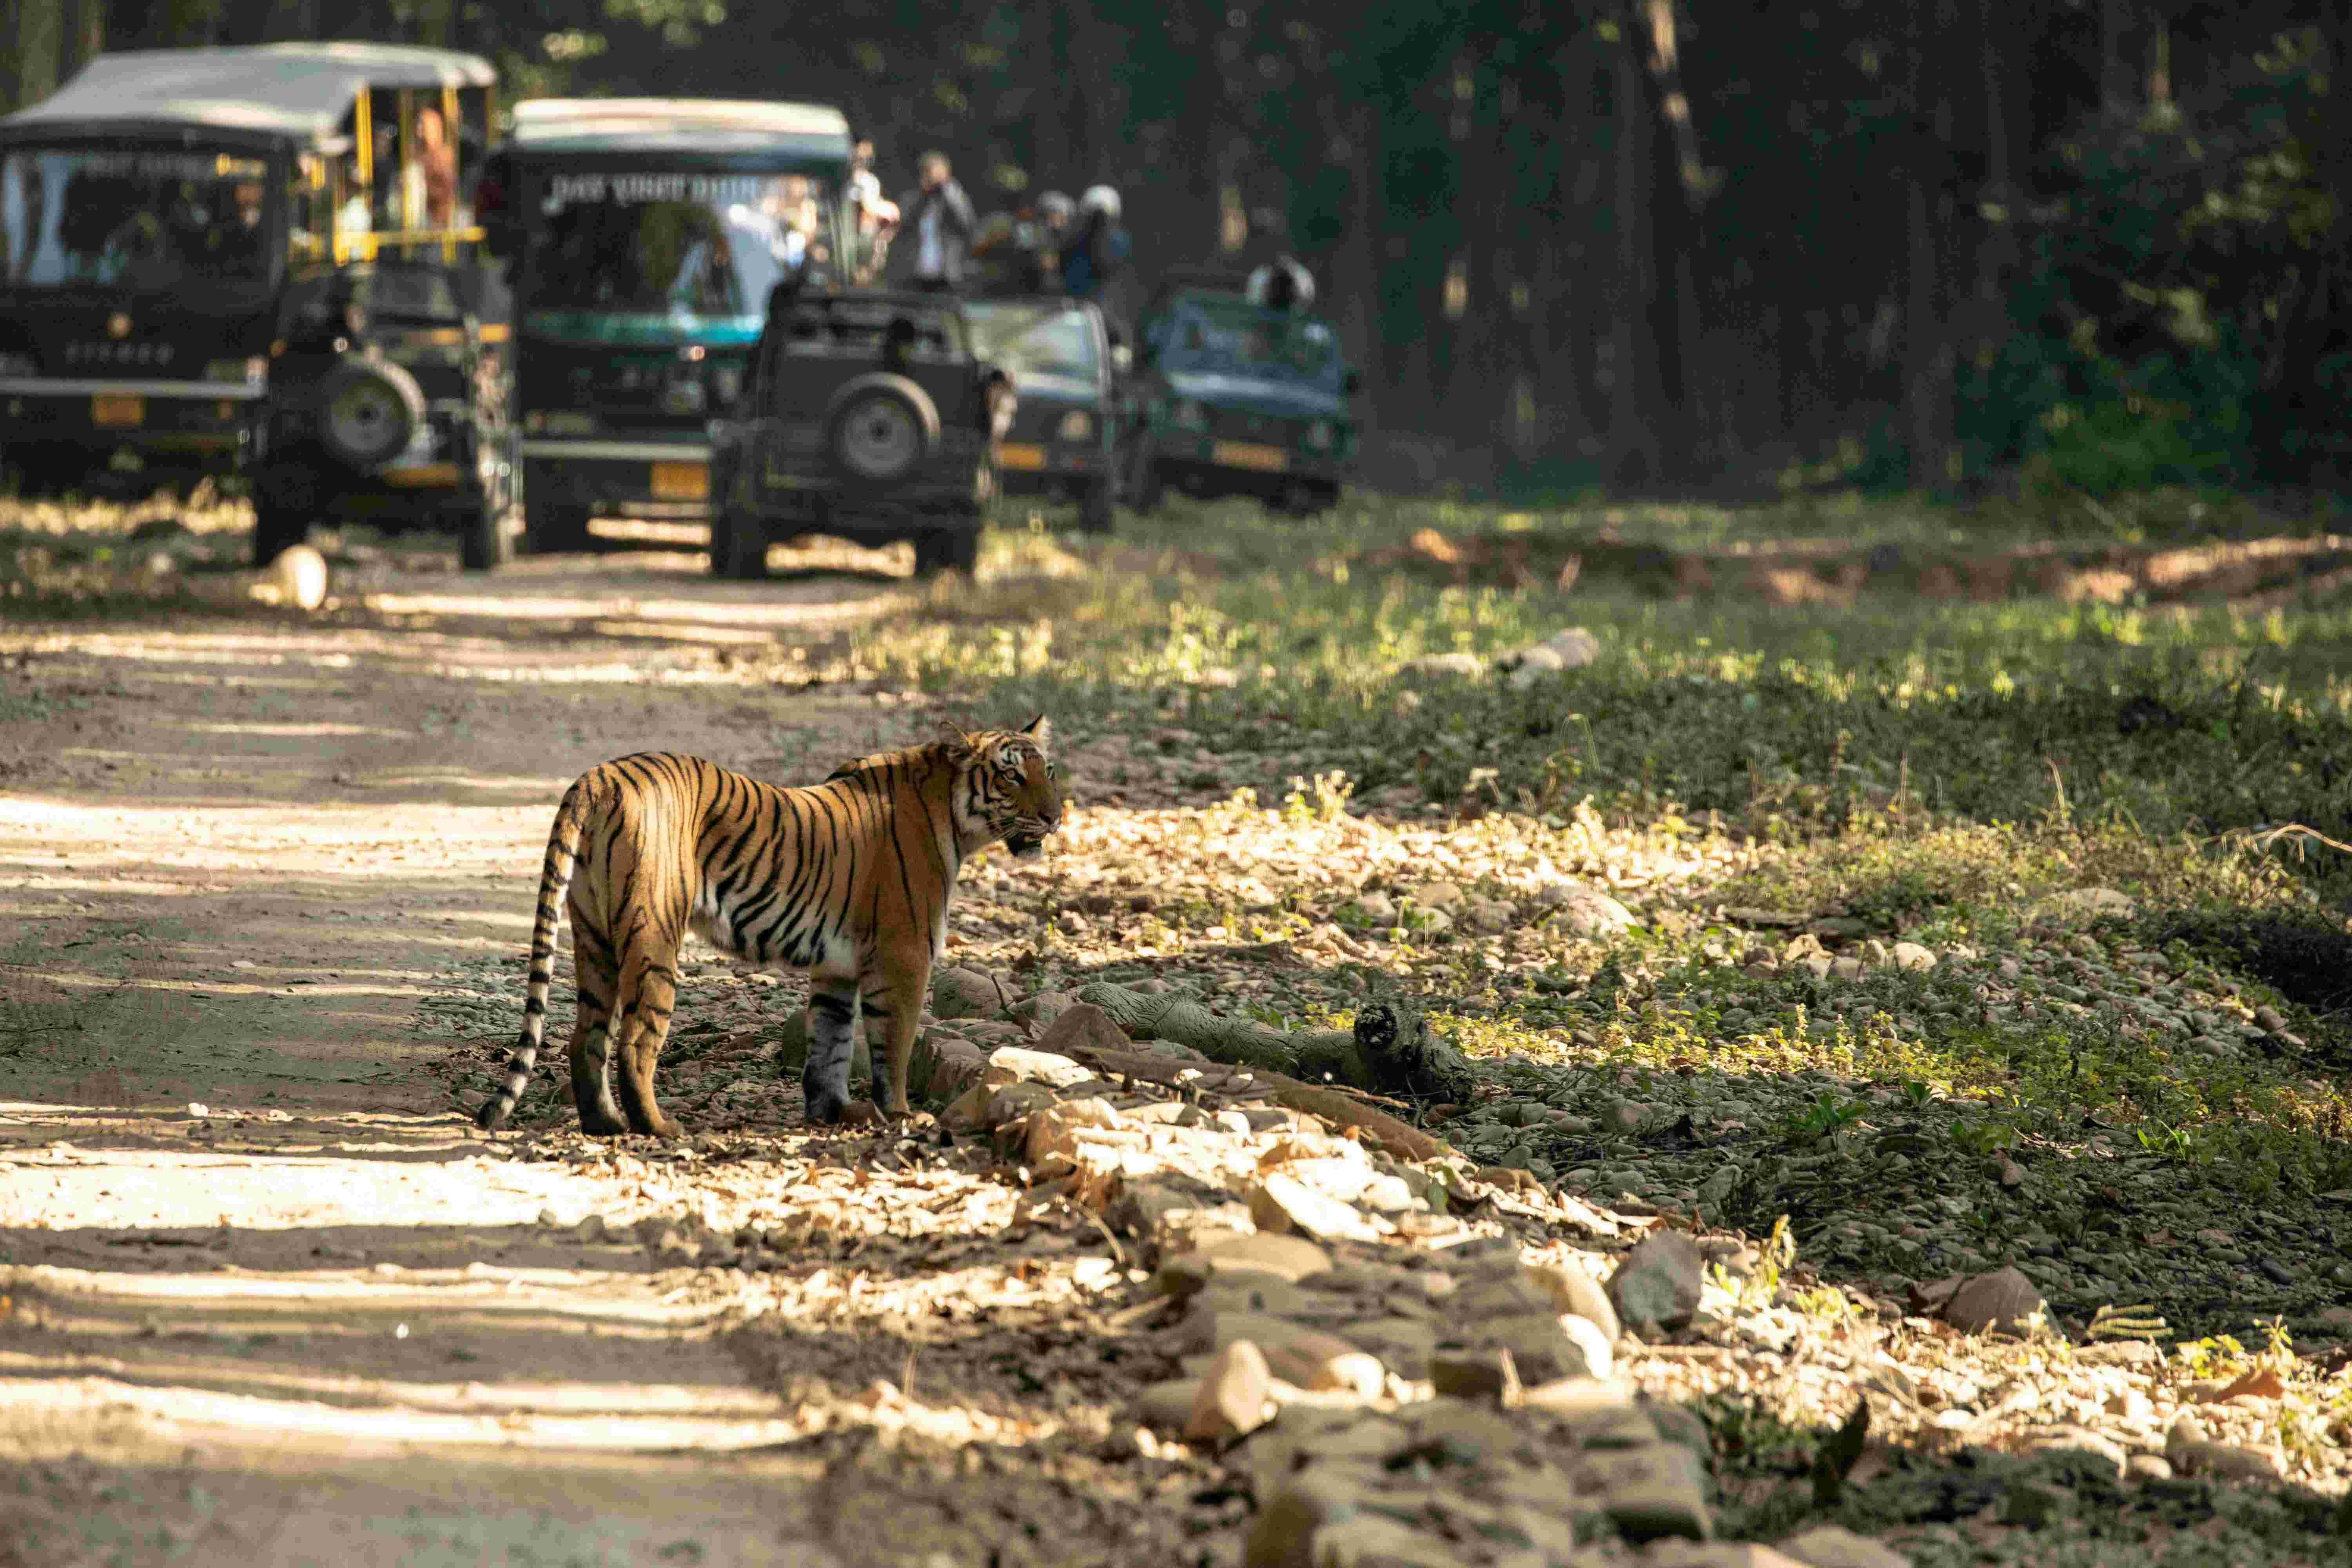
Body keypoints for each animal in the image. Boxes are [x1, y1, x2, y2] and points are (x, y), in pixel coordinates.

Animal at [472, 718, 1061, 1137]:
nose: (1056, 816)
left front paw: (833, 1114)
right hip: (653, 935)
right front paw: (899, 1115)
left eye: (1048, 771)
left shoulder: (837, 968)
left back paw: (606, 1125)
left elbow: (831, 1044)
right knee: (637, 1042)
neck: (952, 814)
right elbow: (893, 1046)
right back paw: (659, 1128)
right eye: (1011, 775)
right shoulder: (905, 956)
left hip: (594, 936)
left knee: (586, 1037)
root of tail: (597, 777)